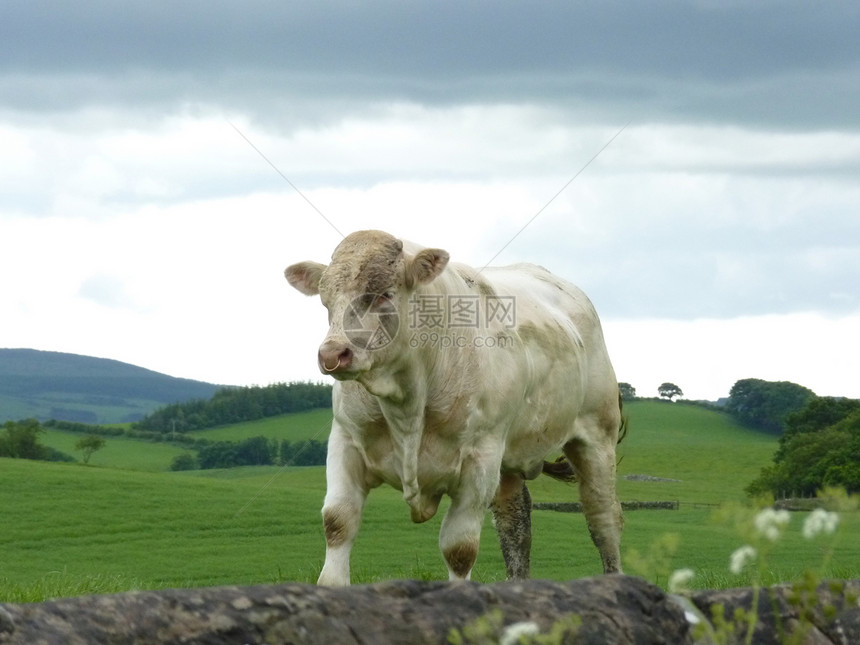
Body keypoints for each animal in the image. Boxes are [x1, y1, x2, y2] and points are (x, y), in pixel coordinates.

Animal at [286, 230, 620, 584]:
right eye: (326, 300)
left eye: (384, 295)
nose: (332, 354)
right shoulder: (345, 440)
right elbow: (338, 522)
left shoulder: (481, 458)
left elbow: (460, 549)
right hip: (511, 455)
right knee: (515, 522)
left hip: (597, 437)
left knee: (603, 517)